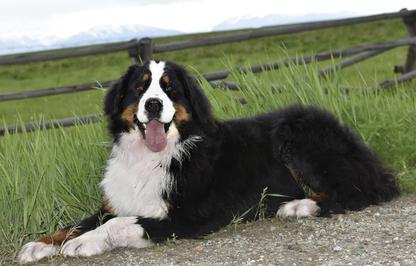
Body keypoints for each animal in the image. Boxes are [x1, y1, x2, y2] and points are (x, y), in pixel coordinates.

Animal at [17, 59, 398, 262]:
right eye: (140, 88)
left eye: (169, 88)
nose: (153, 104)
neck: (156, 156)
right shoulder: (115, 202)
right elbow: (76, 222)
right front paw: (39, 244)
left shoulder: (189, 216)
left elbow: (117, 225)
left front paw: (82, 244)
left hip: (296, 132)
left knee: (357, 191)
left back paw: (298, 207)